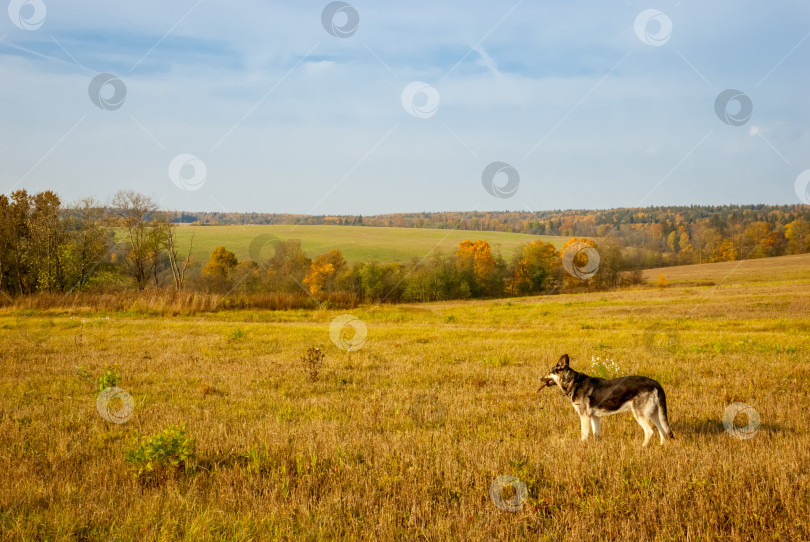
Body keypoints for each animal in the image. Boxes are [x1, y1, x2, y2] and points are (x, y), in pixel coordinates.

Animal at [536, 354, 676, 448]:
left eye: (549, 372)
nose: (540, 379)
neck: (573, 381)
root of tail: (656, 384)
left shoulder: (584, 417)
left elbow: (584, 435)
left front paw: (582, 447)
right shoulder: (594, 417)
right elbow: (596, 435)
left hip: (640, 414)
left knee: (650, 431)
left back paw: (642, 447)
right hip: (654, 414)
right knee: (663, 432)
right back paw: (661, 447)